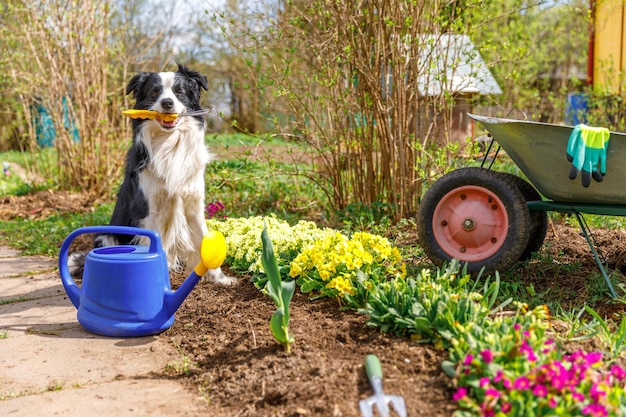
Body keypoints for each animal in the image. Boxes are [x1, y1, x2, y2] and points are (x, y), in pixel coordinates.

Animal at [69, 63, 234, 284]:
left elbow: (202, 239)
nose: (167, 103)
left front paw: (220, 278)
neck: (169, 143)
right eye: (155, 92)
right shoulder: (150, 210)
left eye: (179, 92)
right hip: (106, 237)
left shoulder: (193, 203)